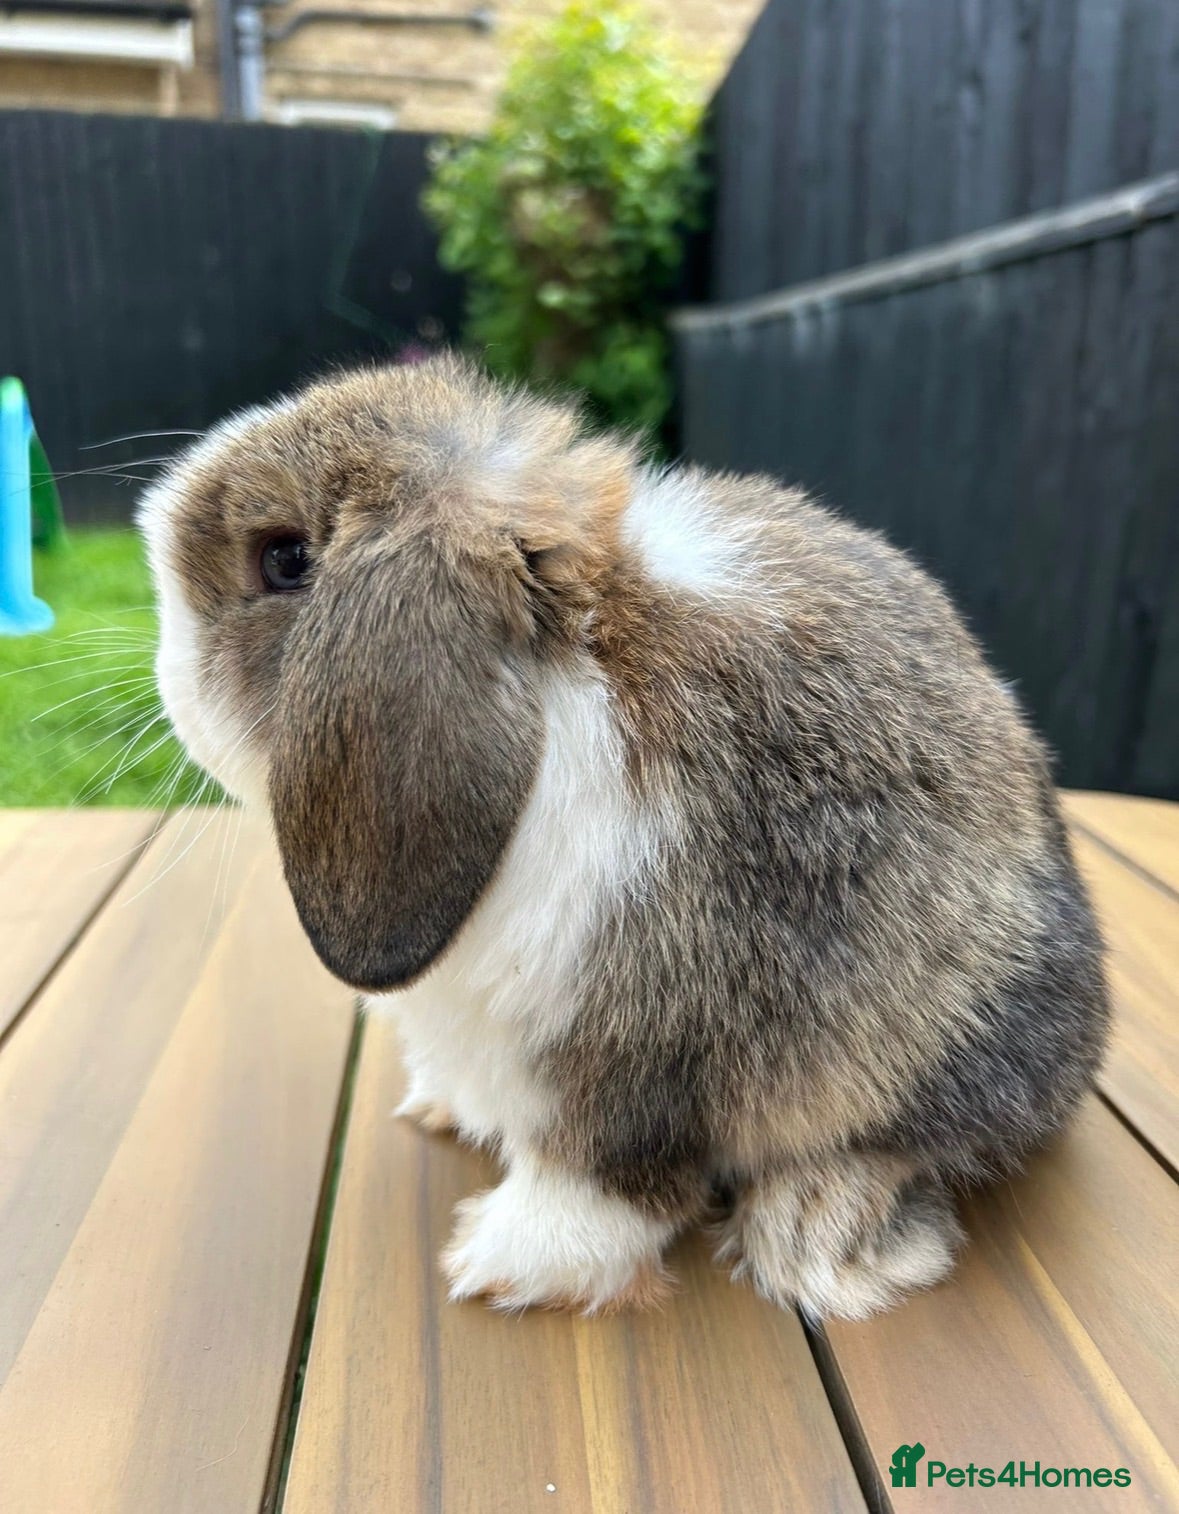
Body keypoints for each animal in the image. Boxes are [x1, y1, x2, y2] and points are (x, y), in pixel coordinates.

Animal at [139, 354, 1109, 1320]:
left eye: (285, 559)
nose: (163, 669)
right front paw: (445, 1113)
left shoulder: (634, 1040)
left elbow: (598, 1174)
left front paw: (505, 1262)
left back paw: (810, 1228)